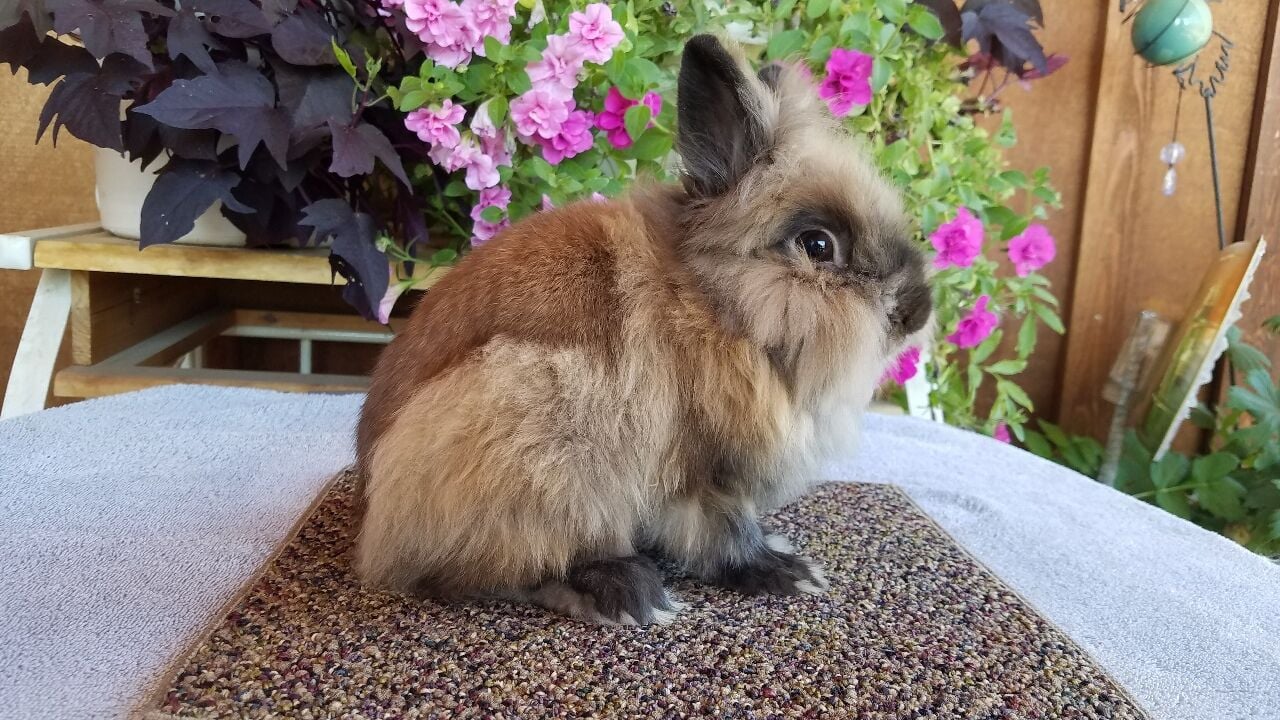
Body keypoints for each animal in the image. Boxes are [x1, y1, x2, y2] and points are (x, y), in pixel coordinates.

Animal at [355, 33, 936, 622]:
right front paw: (786, 572)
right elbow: (726, 534)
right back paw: (622, 590)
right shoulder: (702, 472)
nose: (918, 311)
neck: (712, 302)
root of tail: (372, 506)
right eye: (817, 245)